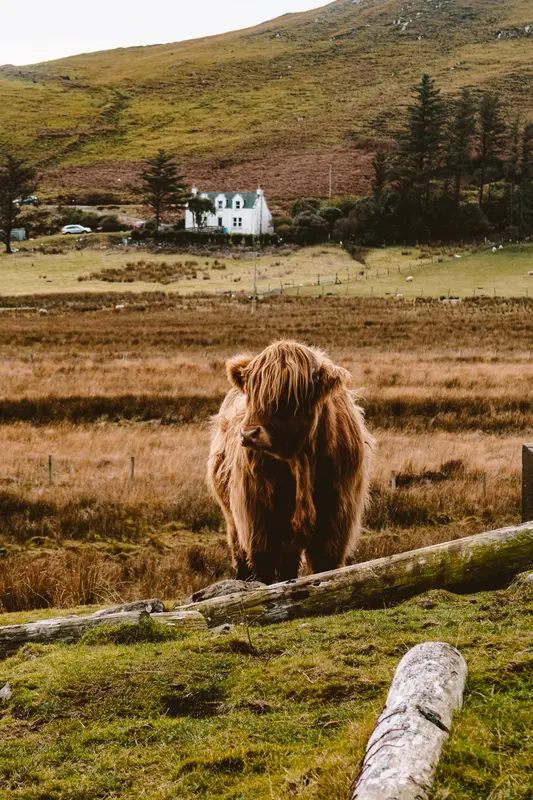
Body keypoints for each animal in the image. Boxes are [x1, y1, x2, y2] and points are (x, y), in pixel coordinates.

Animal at [206, 340, 372, 584]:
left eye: (289, 395)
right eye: (251, 392)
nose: (248, 434)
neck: (301, 459)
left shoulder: (336, 524)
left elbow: (326, 568)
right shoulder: (258, 523)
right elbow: (264, 572)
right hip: (233, 519)